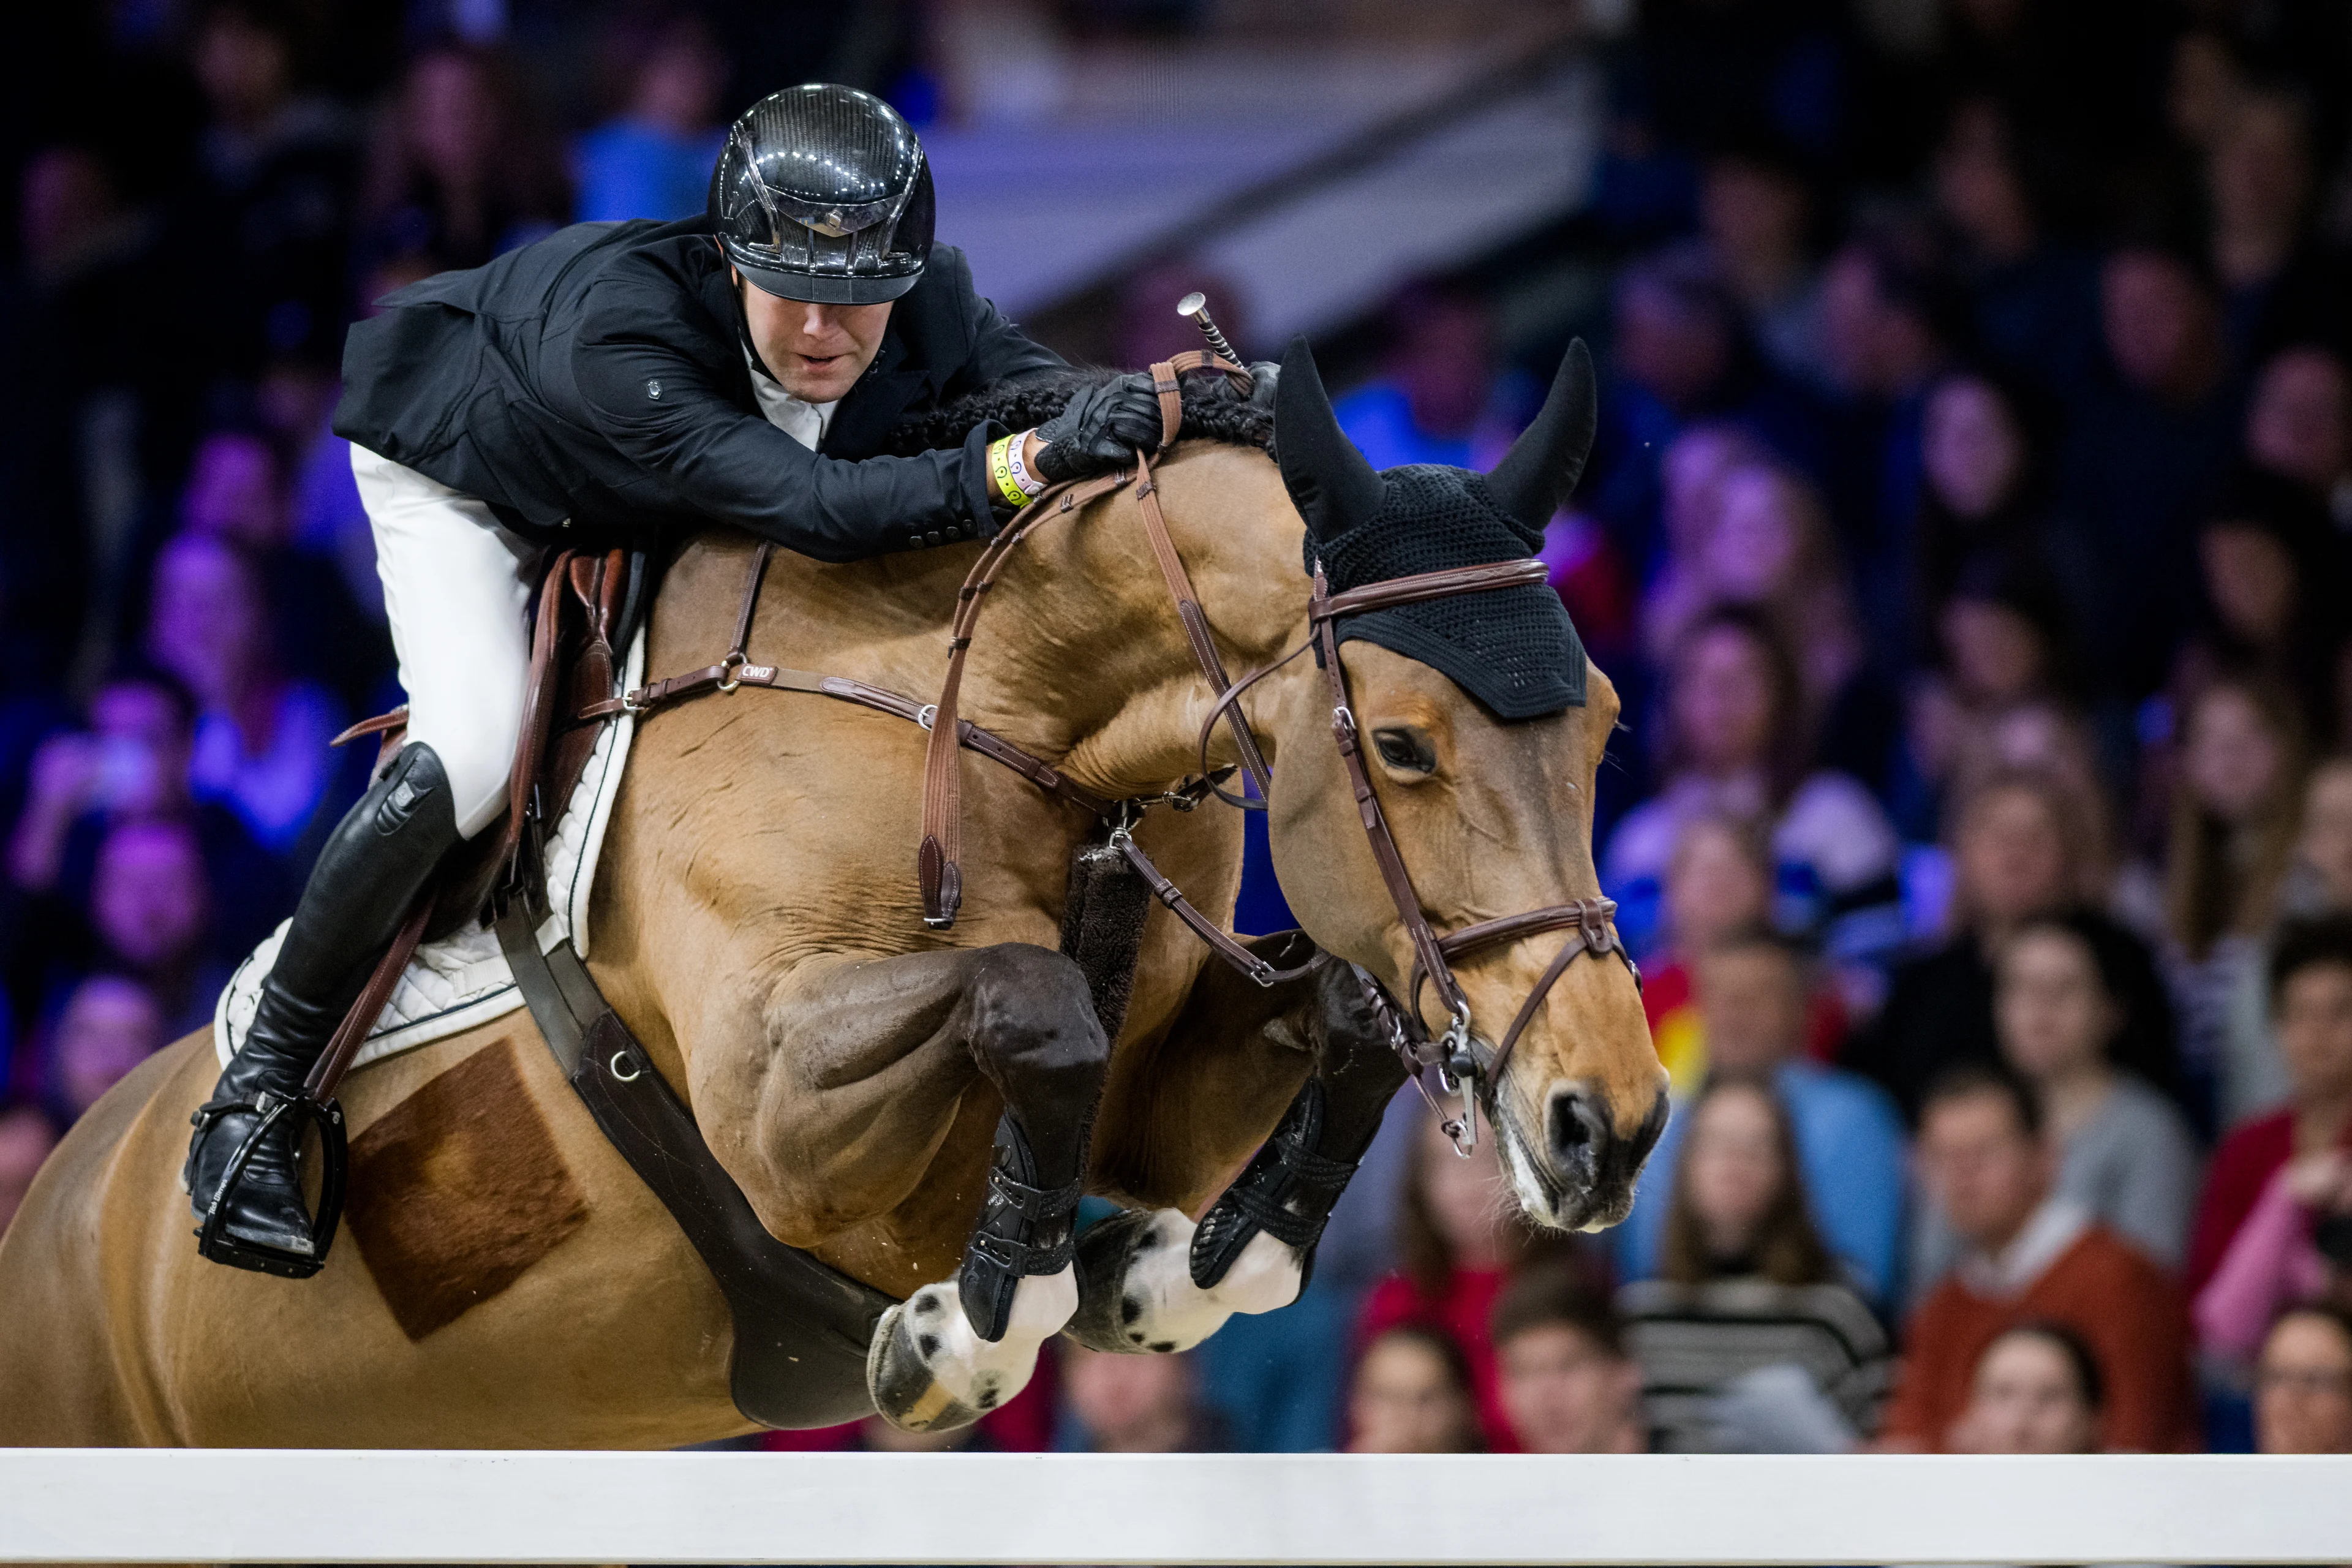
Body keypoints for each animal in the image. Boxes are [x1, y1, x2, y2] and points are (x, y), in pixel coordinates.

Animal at [0, 341, 1675, 1448]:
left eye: (1604, 723)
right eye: (1399, 743)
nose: (1607, 1123)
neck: (1015, 719)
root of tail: (58, 1195)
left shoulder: (1162, 1087)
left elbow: (1331, 1013)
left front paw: (1167, 1269)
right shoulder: (776, 1113)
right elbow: (1036, 1006)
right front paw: (966, 1328)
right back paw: (249, 1158)